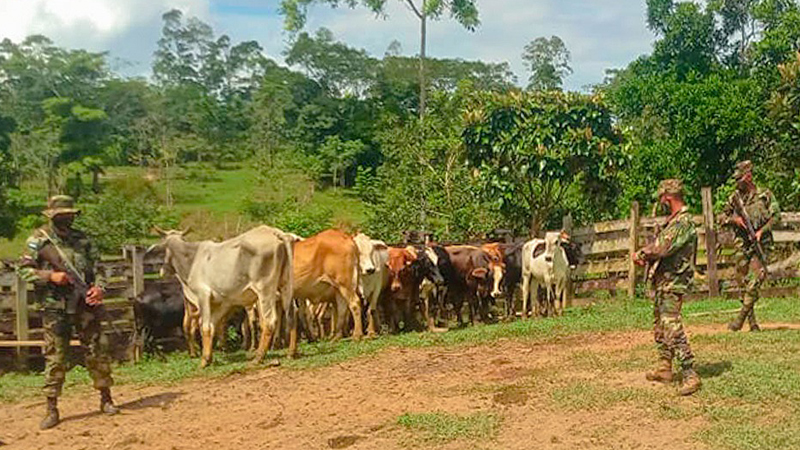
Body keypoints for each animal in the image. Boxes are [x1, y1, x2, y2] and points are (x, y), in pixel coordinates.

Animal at [154, 227, 296, 368]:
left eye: (163, 247)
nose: (163, 271)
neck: (192, 260)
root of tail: (275, 232)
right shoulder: (221, 303)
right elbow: (212, 327)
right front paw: (210, 357)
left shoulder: (203, 295)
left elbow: (205, 327)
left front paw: (204, 360)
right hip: (285, 286)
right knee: (291, 315)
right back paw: (291, 352)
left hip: (265, 290)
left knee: (269, 321)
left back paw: (258, 357)